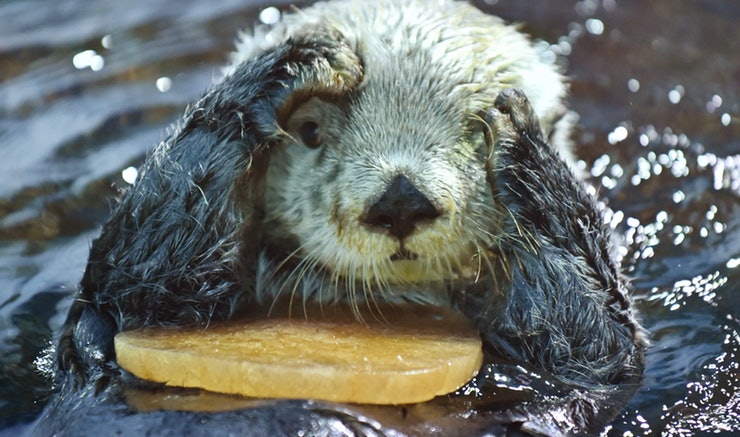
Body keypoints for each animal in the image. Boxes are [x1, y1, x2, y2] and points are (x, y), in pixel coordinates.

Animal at [33, 0, 648, 436]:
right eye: (309, 131)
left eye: (474, 135)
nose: (401, 200)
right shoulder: (122, 319)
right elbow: (139, 291)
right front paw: (292, 63)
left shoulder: (570, 379)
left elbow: (592, 344)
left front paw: (525, 149)